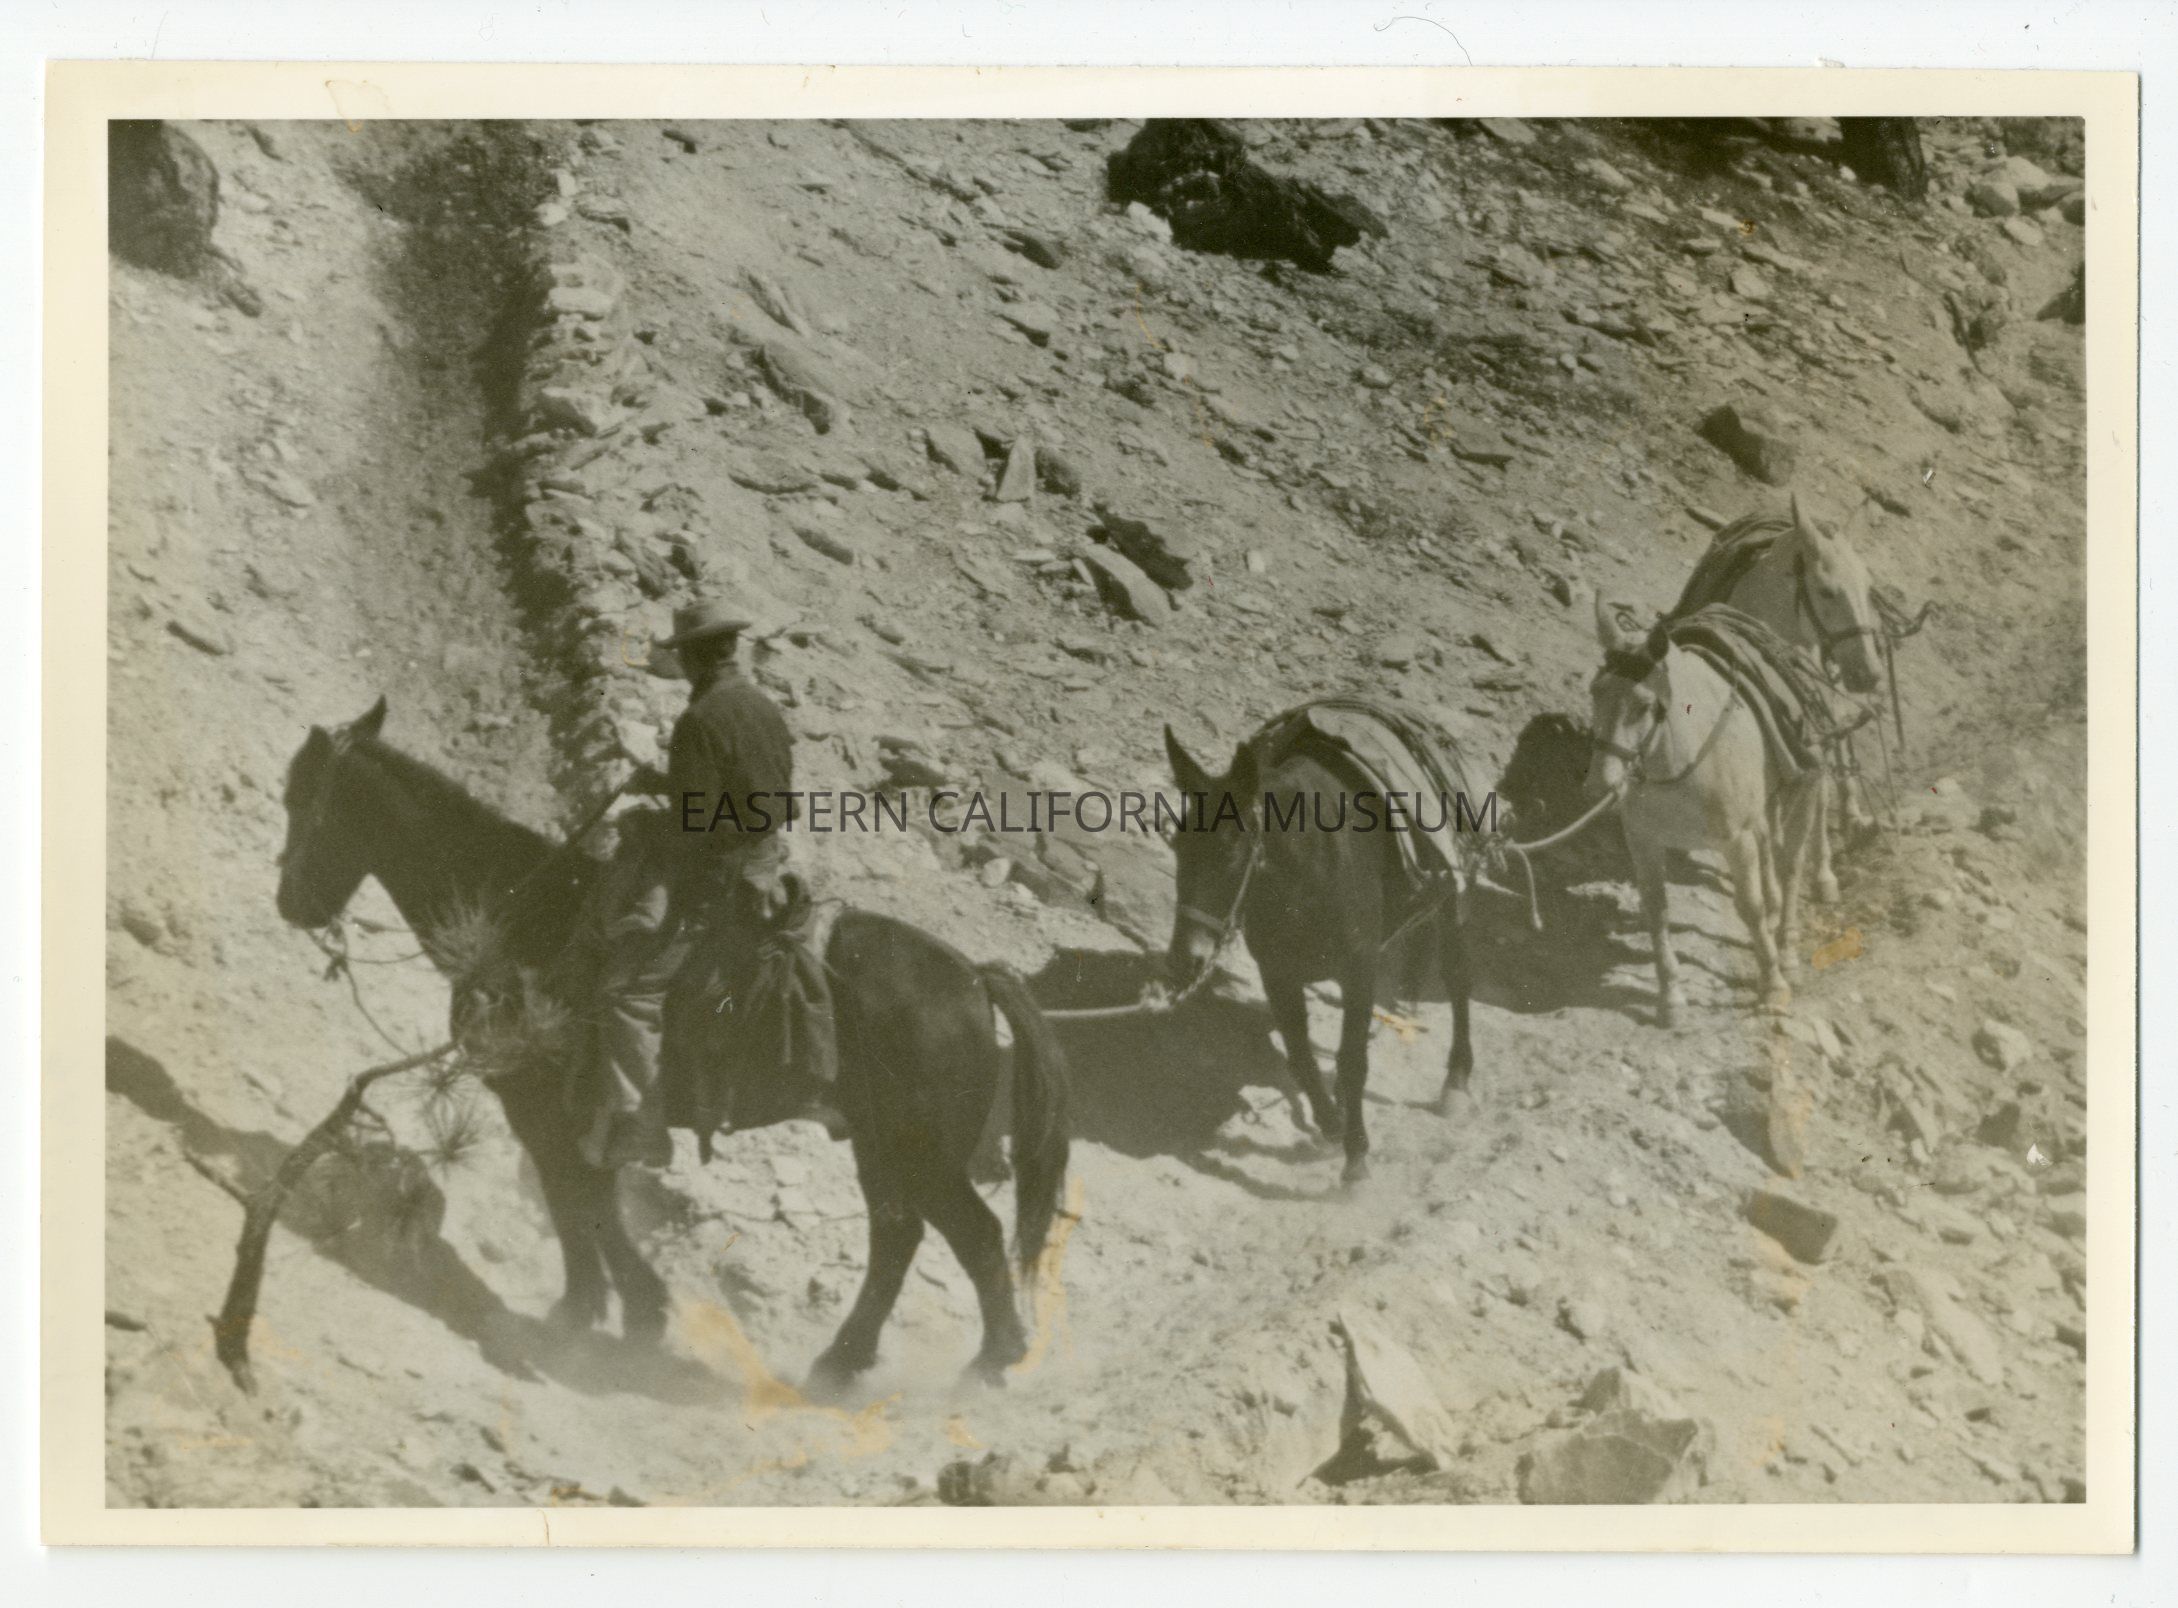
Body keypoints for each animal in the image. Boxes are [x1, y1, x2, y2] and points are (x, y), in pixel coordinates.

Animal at [275, 698, 1070, 1393]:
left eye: (301, 798)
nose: (292, 903)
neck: (523, 905)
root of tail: (971, 977)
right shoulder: (566, 1108)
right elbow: (583, 1197)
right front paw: (620, 1309)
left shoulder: (544, 1102)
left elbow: (578, 1198)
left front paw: (602, 1313)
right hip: (882, 1149)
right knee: (897, 1238)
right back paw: (843, 1364)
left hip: (921, 1154)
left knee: (973, 1236)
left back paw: (988, 1362)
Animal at [1161, 723, 1475, 1185]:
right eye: (1178, 846)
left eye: (1231, 852)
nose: (1186, 959)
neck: (1302, 875)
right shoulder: (1278, 973)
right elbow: (1302, 1057)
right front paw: (1332, 1128)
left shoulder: (1359, 968)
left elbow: (1352, 1060)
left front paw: (1356, 1156)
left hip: (1451, 899)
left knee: (1456, 979)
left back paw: (1456, 1081)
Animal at [1585, 601, 1823, 1027]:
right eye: (1595, 693)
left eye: (1643, 706)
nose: (1600, 788)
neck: (1679, 758)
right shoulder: (1643, 841)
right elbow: (1657, 911)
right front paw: (1670, 998)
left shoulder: (1736, 840)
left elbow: (1749, 907)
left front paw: (1773, 986)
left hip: (1805, 791)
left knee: (1791, 867)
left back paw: (1788, 950)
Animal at [1669, 492, 1886, 903]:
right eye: (1827, 592)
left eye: (1869, 591)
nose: (1870, 673)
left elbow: (1820, 790)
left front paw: (1823, 875)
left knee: (1841, 751)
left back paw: (1854, 816)